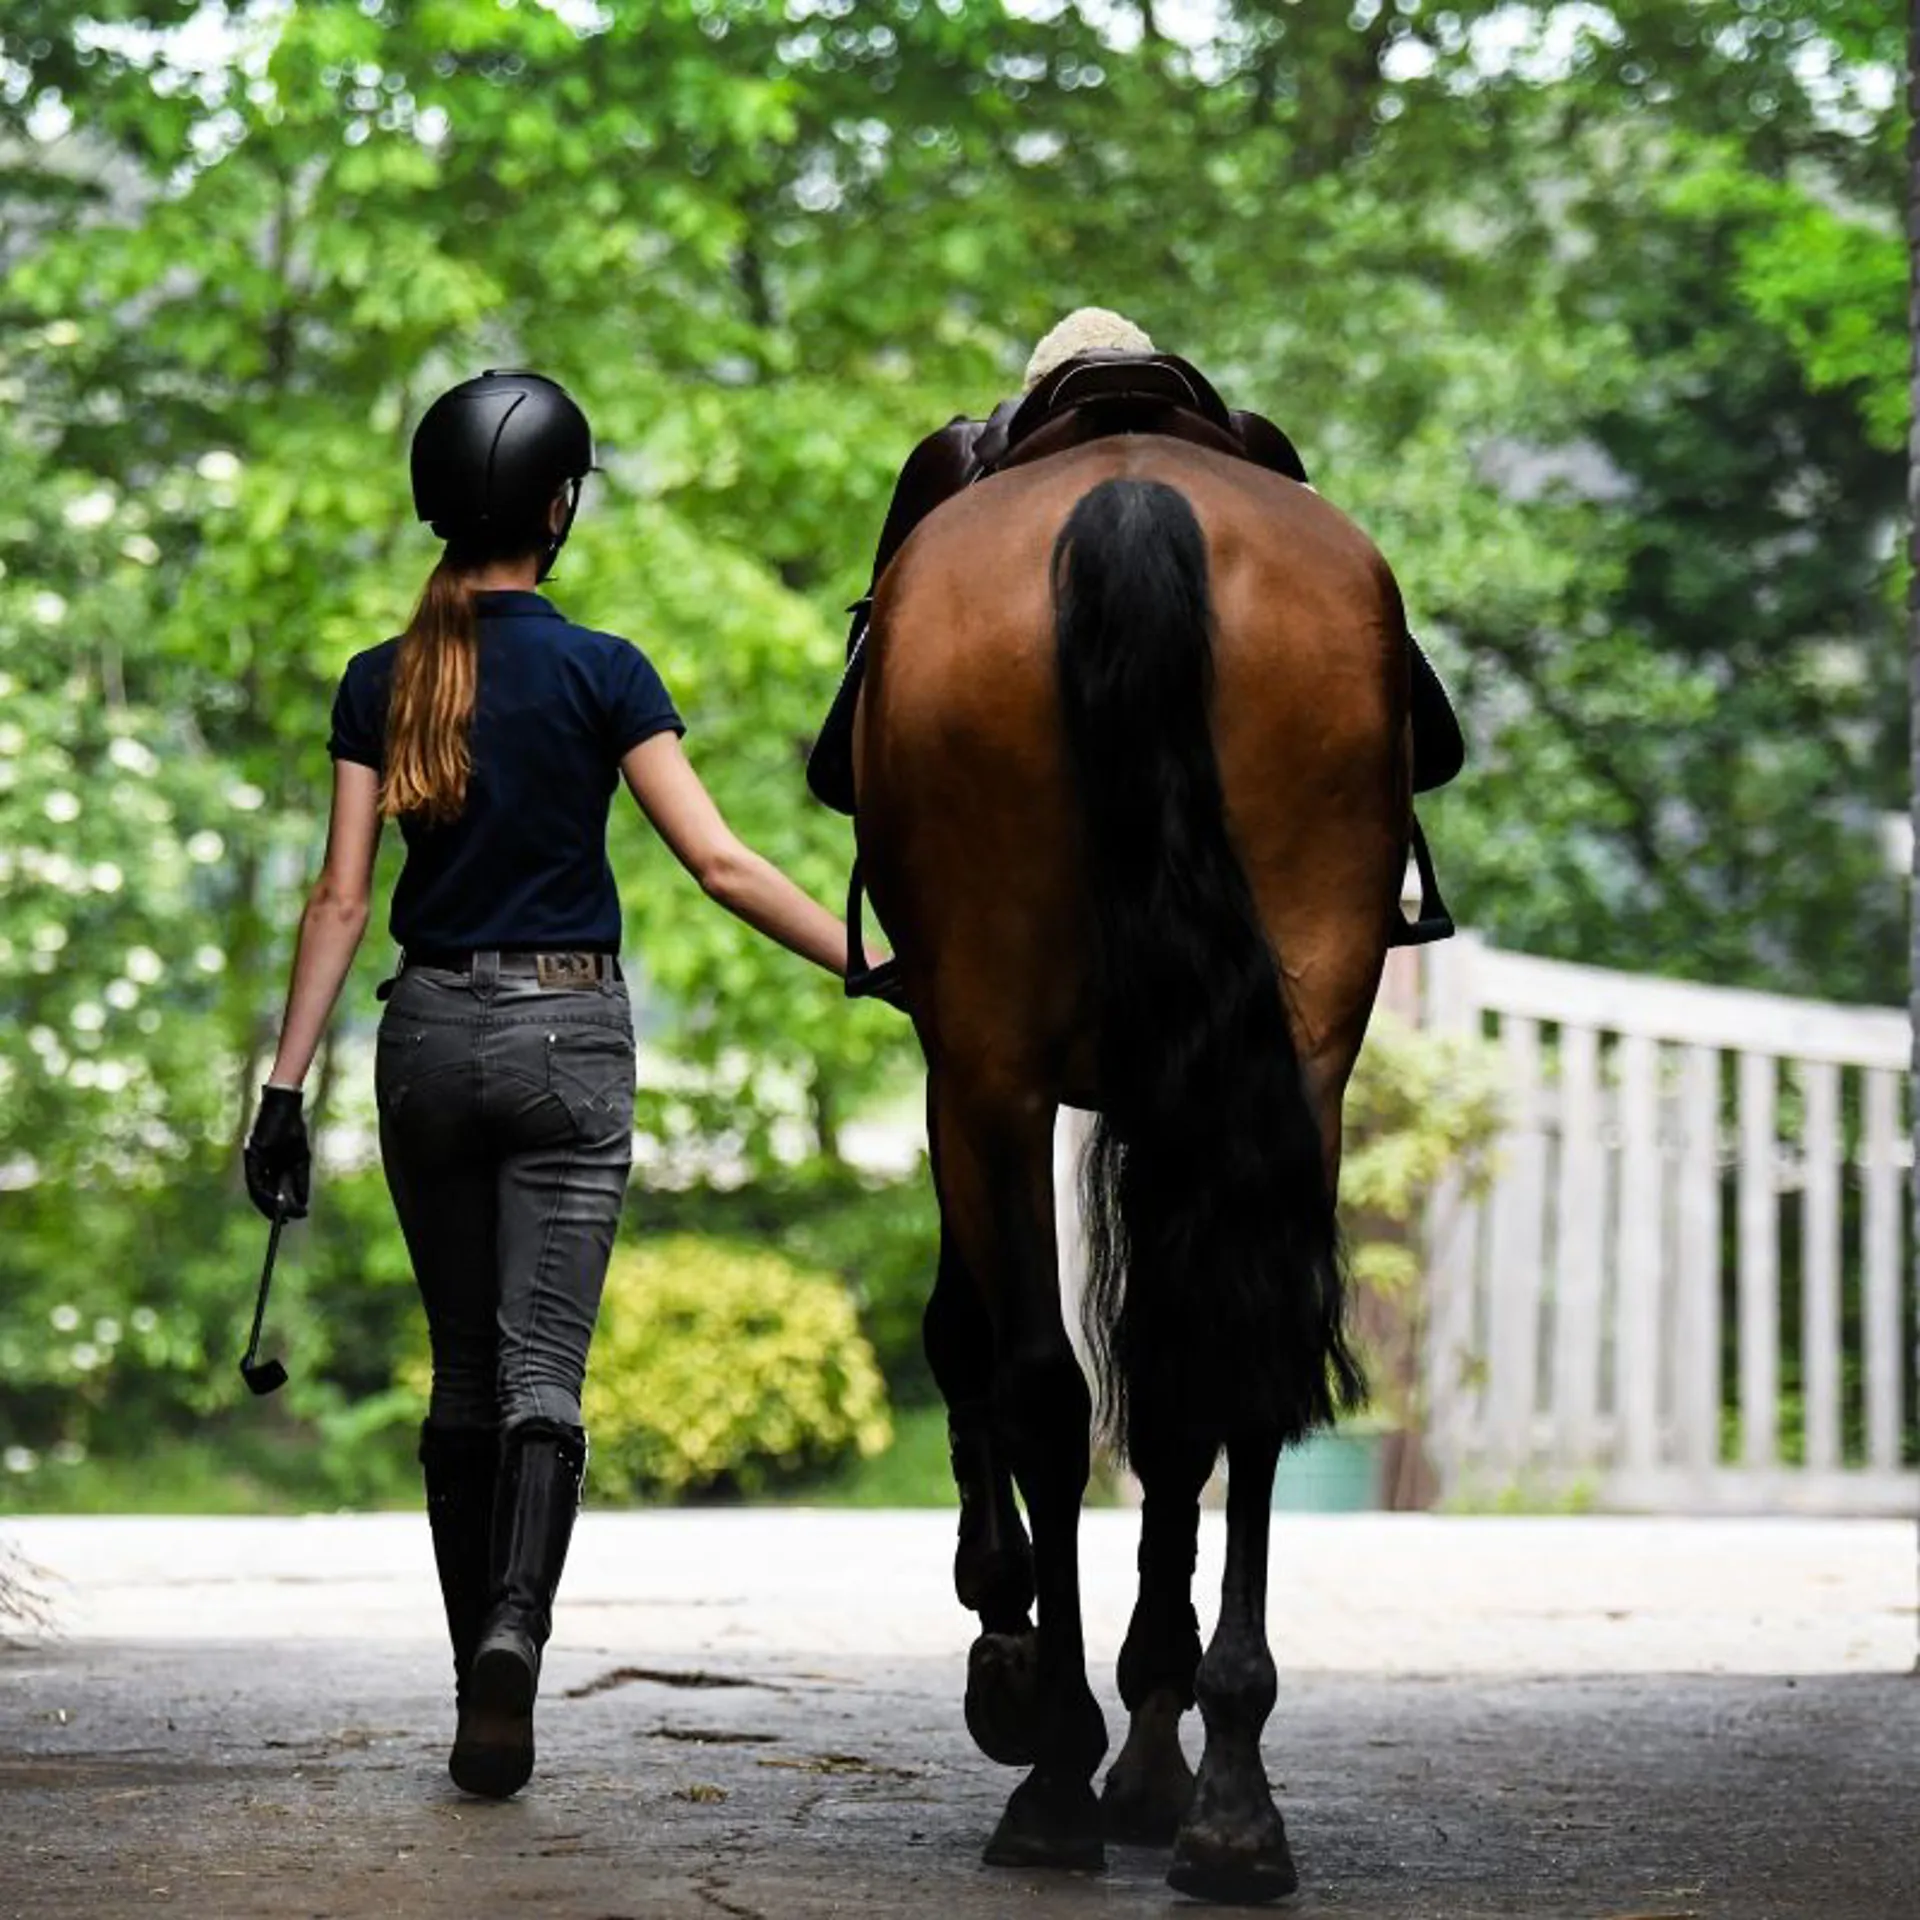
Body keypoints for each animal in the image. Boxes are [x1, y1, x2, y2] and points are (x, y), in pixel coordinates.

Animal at [850, 431, 1409, 1901]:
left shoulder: (962, 1070)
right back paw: (1230, 1798)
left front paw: (1012, 1640)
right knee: (1246, 1372)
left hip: (989, 1064)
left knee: (1045, 1385)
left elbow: (974, 1339)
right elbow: (1173, 1402)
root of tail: (1133, 495)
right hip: (1299, 1054)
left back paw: (1054, 1772)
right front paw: (1156, 1729)